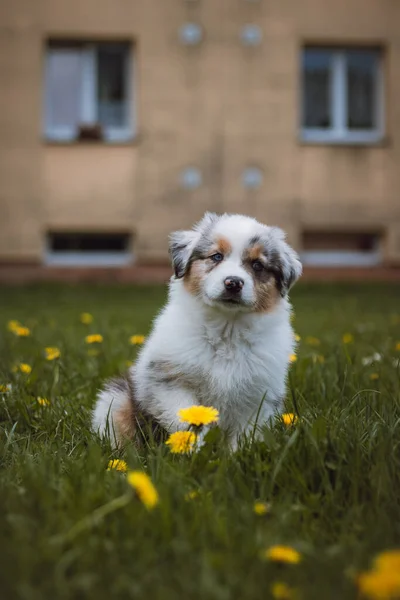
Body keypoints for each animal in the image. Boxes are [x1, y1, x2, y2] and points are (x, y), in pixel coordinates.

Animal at [93, 213, 300, 448]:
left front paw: (236, 455)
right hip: (115, 400)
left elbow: (245, 437)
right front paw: (193, 450)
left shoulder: (259, 396)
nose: (233, 283)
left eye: (257, 265)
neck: (226, 330)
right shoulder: (171, 381)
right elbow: (189, 422)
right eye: (216, 256)